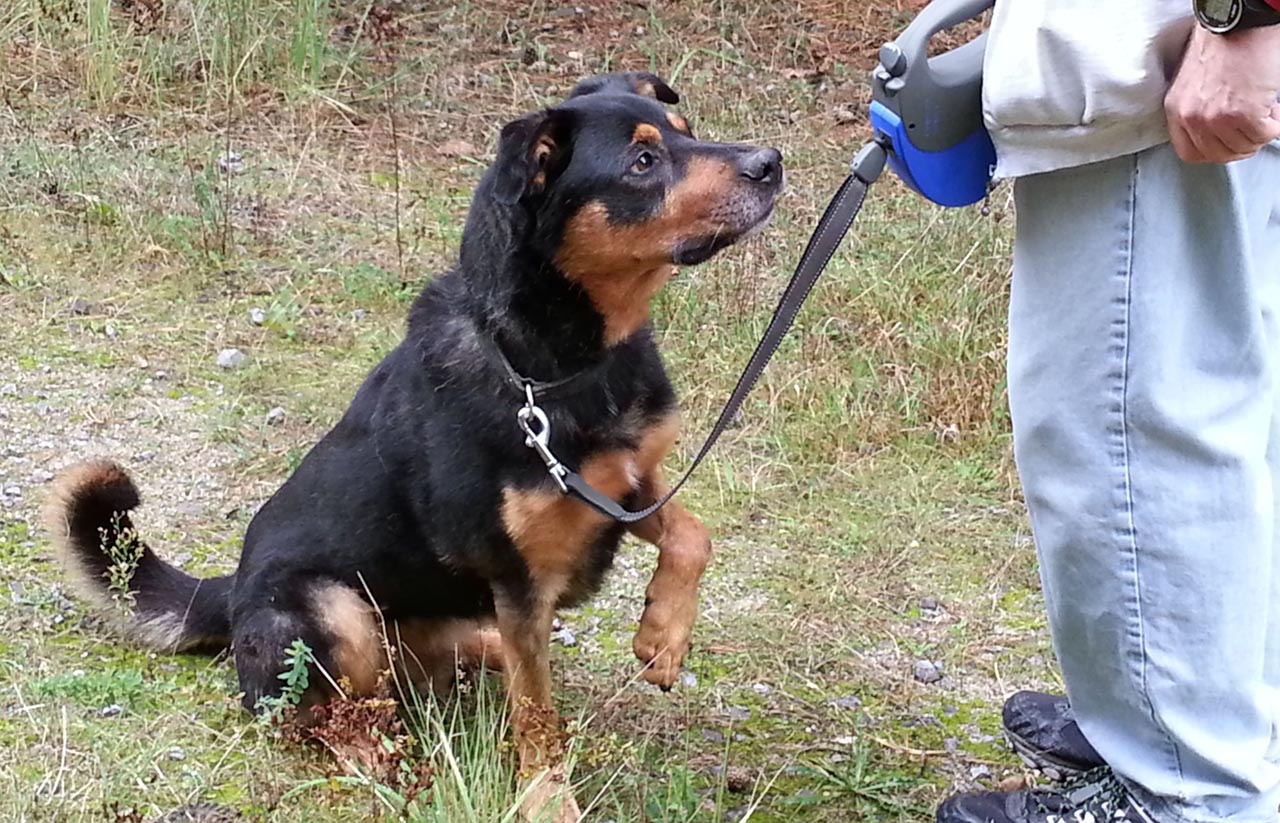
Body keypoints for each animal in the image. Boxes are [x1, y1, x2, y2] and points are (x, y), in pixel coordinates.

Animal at [46, 72, 783, 822]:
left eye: (687, 131)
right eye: (642, 162)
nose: (771, 162)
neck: (552, 364)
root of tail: (231, 594)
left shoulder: (629, 484)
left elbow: (694, 534)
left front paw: (663, 635)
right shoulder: (519, 572)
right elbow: (535, 717)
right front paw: (548, 797)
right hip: (331, 610)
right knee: (323, 715)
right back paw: (382, 756)